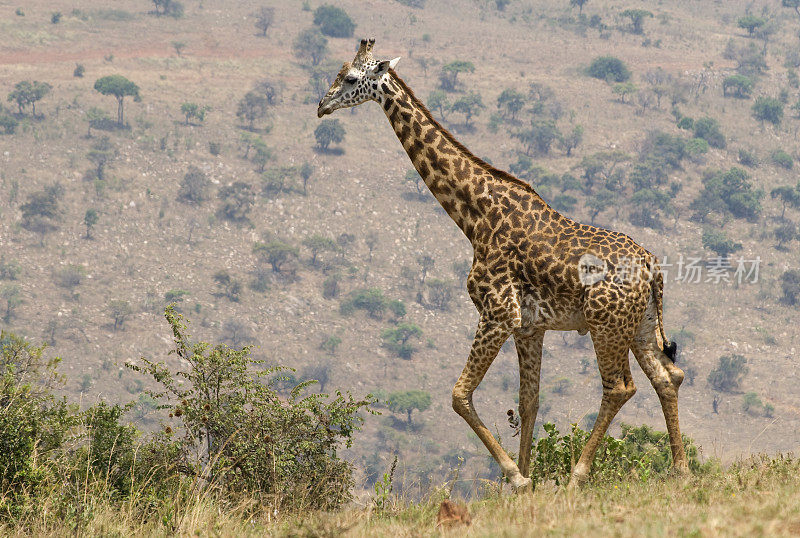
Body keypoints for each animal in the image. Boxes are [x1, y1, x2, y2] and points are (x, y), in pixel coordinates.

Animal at [318, 38, 688, 490]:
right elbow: (528, 401)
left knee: (619, 387)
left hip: (607, 326)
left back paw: (577, 477)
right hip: (640, 324)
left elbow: (460, 395)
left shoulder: (497, 313)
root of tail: (653, 268)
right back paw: (681, 470)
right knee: (667, 378)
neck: (474, 216)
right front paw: (524, 481)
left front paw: (517, 478)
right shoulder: (529, 326)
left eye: (351, 78)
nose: (321, 105)